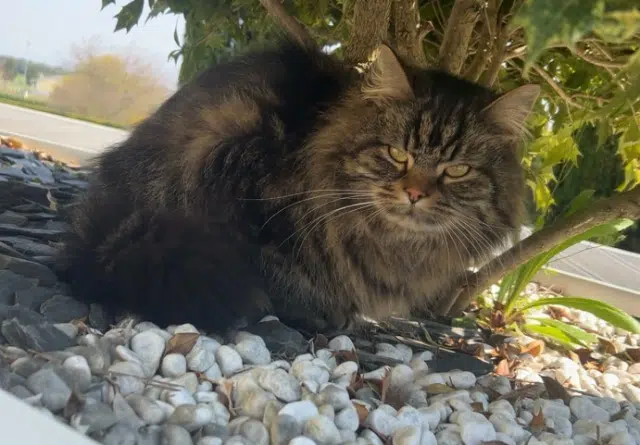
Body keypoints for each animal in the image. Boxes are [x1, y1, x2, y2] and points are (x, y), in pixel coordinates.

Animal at [55, 40, 540, 334]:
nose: (415, 194)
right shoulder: (261, 207)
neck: (394, 244)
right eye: (396, 154)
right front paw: (328, 311)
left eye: (457, 171)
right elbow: (280, 270)